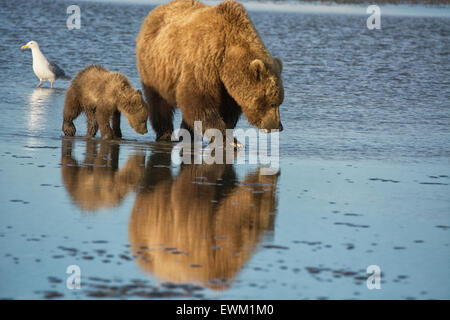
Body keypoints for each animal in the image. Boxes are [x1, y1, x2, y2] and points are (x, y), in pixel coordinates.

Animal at [137, 0, 284, 141]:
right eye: (272, 103)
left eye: (279, 102)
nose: (278, 126)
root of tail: (154, 12)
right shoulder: (204, 60)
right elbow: (199, 99)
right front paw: (230, 140)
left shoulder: (226, 85)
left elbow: (227, 109)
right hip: (154, 68)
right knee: (158, 102)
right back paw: (165, 133)